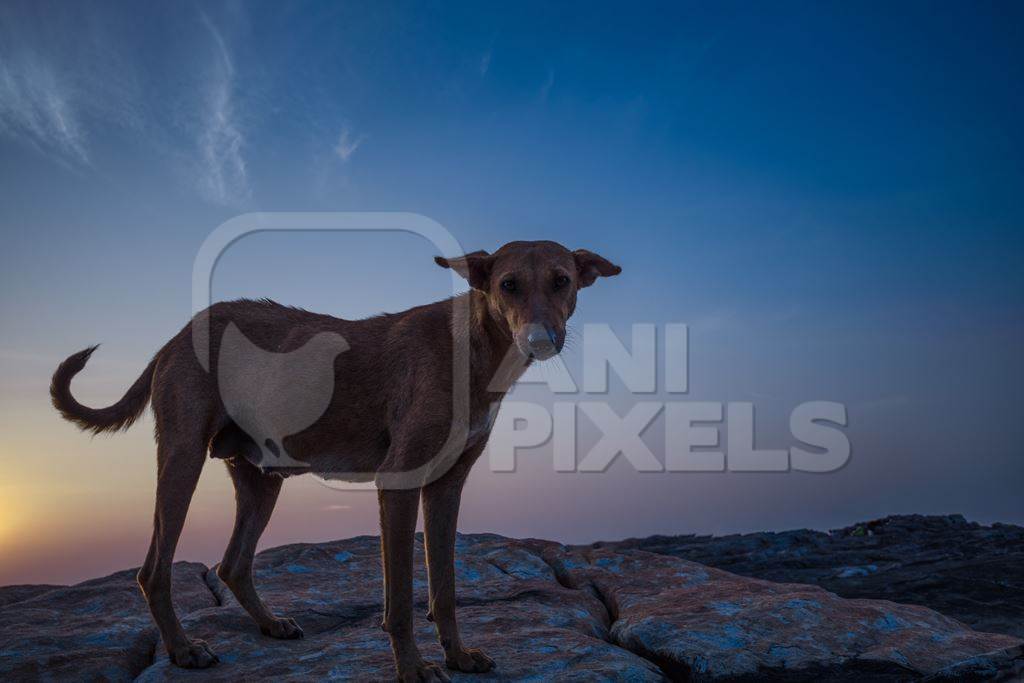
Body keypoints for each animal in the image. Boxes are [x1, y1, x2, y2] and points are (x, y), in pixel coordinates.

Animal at [51, 241, 618, 683]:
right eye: (508, 284)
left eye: (562, 281)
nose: (541, 340)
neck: (473, 348)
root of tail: (173, 337)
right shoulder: (398, 485)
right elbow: (400, 600)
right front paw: (413, 668)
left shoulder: (446, 488)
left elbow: (445, 587)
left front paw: (457, 655)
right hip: (182, 463)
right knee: (154, 571)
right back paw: (184, 649)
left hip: (260, 482)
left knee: (233, 564)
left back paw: (270, 623)